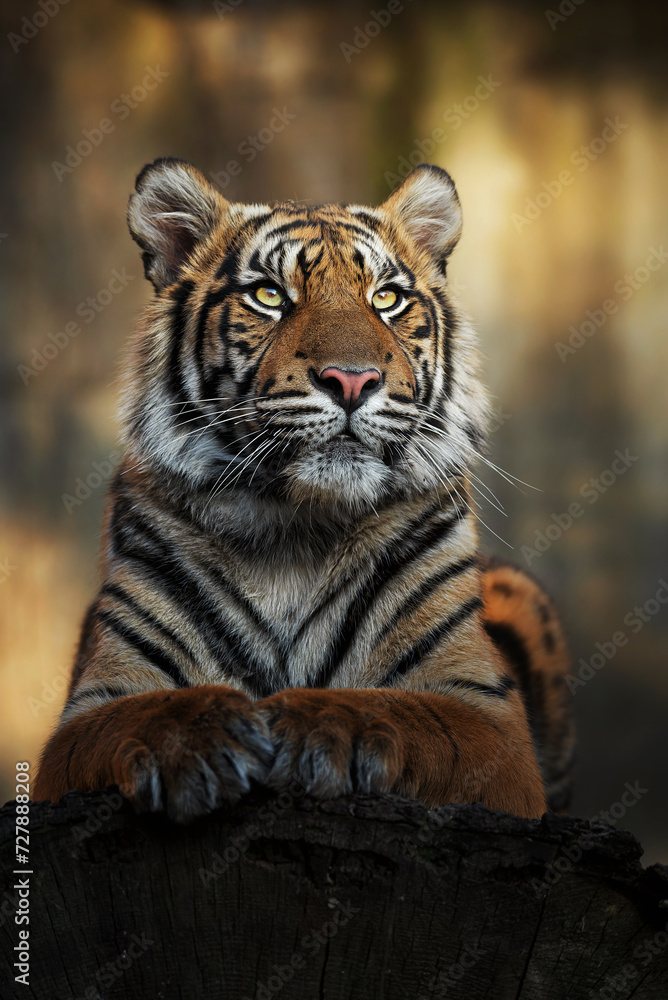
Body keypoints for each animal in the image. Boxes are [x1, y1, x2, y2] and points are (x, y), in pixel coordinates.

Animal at [33, 158, 575, 823]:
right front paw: (206, 732)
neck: (294, 529)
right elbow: (146, 713)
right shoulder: (90, 712)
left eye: (387, 298)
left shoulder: (485, 715)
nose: (352, 380)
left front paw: (305, 721)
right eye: (269, 295)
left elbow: (395, 708)